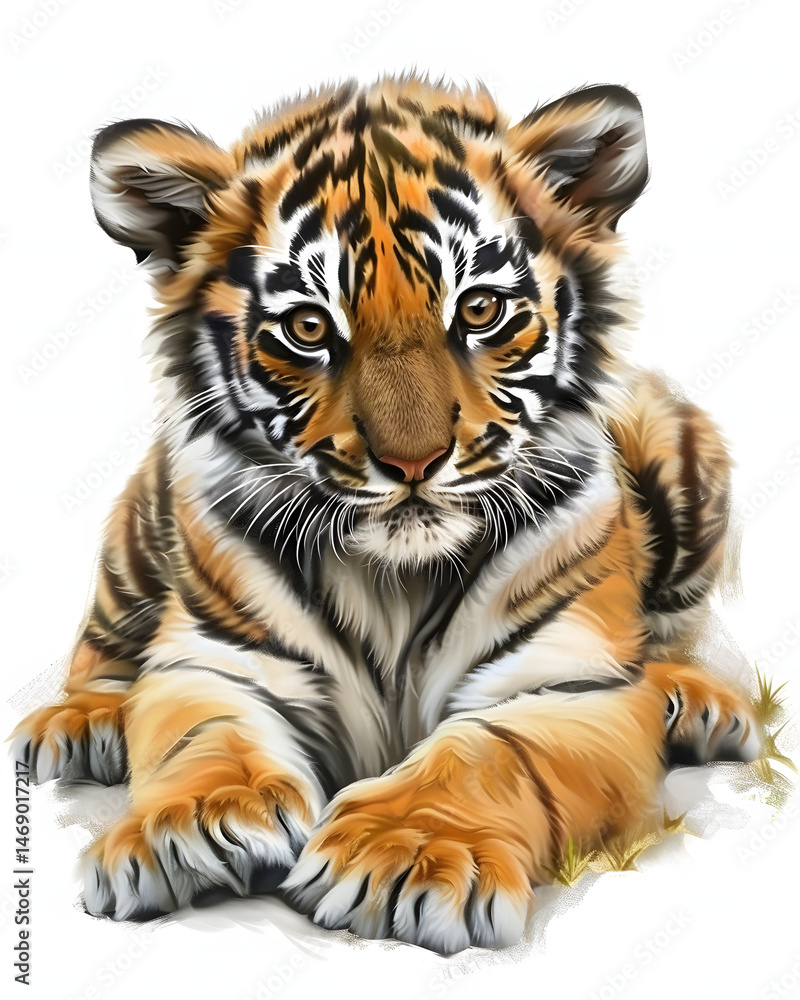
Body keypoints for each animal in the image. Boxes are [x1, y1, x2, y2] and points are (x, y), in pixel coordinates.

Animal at [12, 75, 759, 954]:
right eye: (308, 328)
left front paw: (407, 851)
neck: (395, 580)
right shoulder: (218, 661)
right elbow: (204, 734)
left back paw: (697, 704)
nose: (412, 463)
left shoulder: (567, 682)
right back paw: (81, 721)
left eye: (480, 311)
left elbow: (492, 752)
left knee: (668, 638)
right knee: (101, 647)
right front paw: (191, 825)